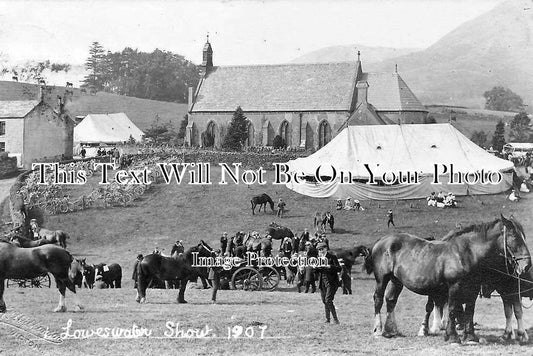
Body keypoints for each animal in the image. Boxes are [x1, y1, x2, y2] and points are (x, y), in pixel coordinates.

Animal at [364, 216, 528, 344]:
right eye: (514, 236)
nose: (527, 265)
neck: (467, 253)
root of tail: (382, 240)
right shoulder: (455, 286)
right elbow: (452, 309)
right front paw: (453, 337)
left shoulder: (473, 288)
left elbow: (469, 310)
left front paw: (470, 337)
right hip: (382, 279)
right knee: (378, 299)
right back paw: (378, 330)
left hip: (396, 280)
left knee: (391, 300)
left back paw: (391, 331)